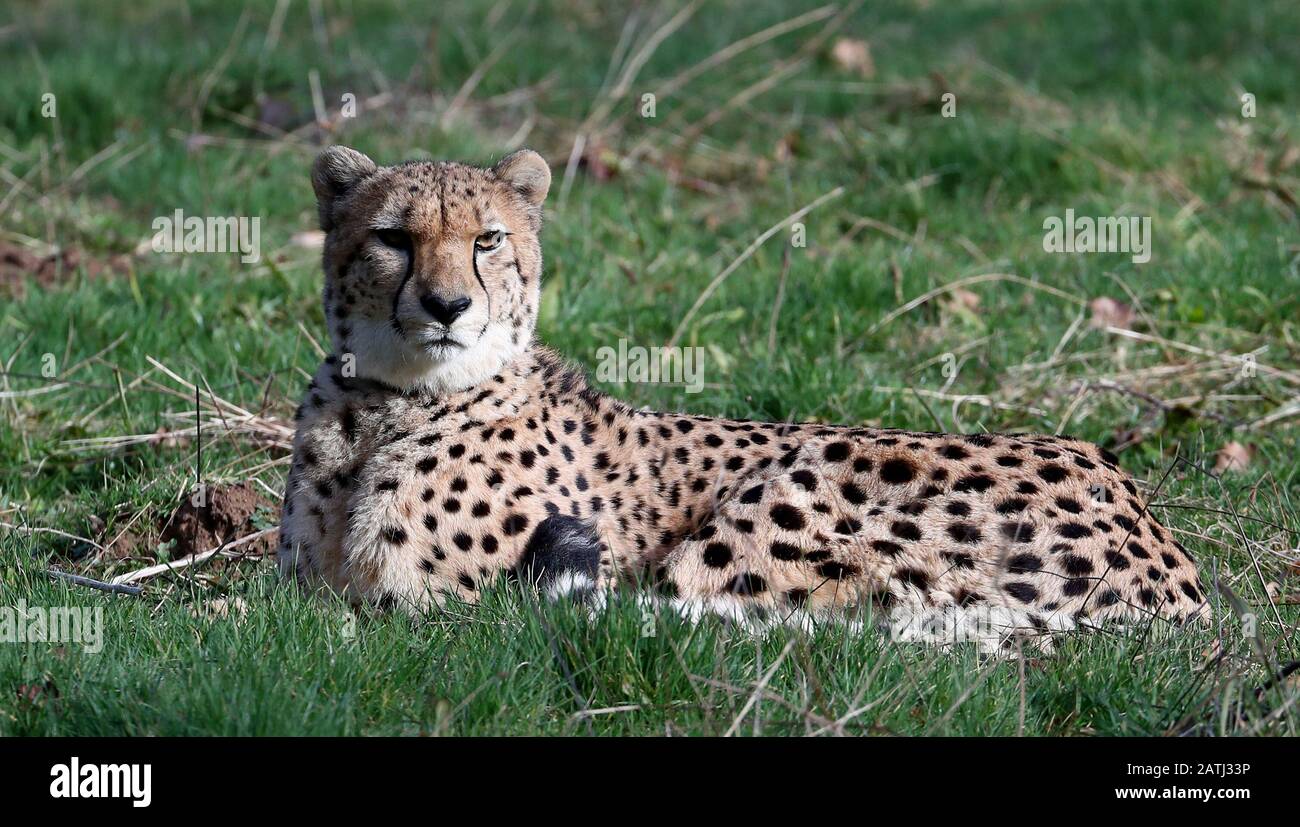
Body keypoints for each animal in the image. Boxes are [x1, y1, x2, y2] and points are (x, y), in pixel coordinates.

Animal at [279, 146, 1211, 652]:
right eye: (394, 239)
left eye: (487, 240)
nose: (447, 306)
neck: (386, 402)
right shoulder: (307, 591)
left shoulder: (442, 611)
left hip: (788, 496)